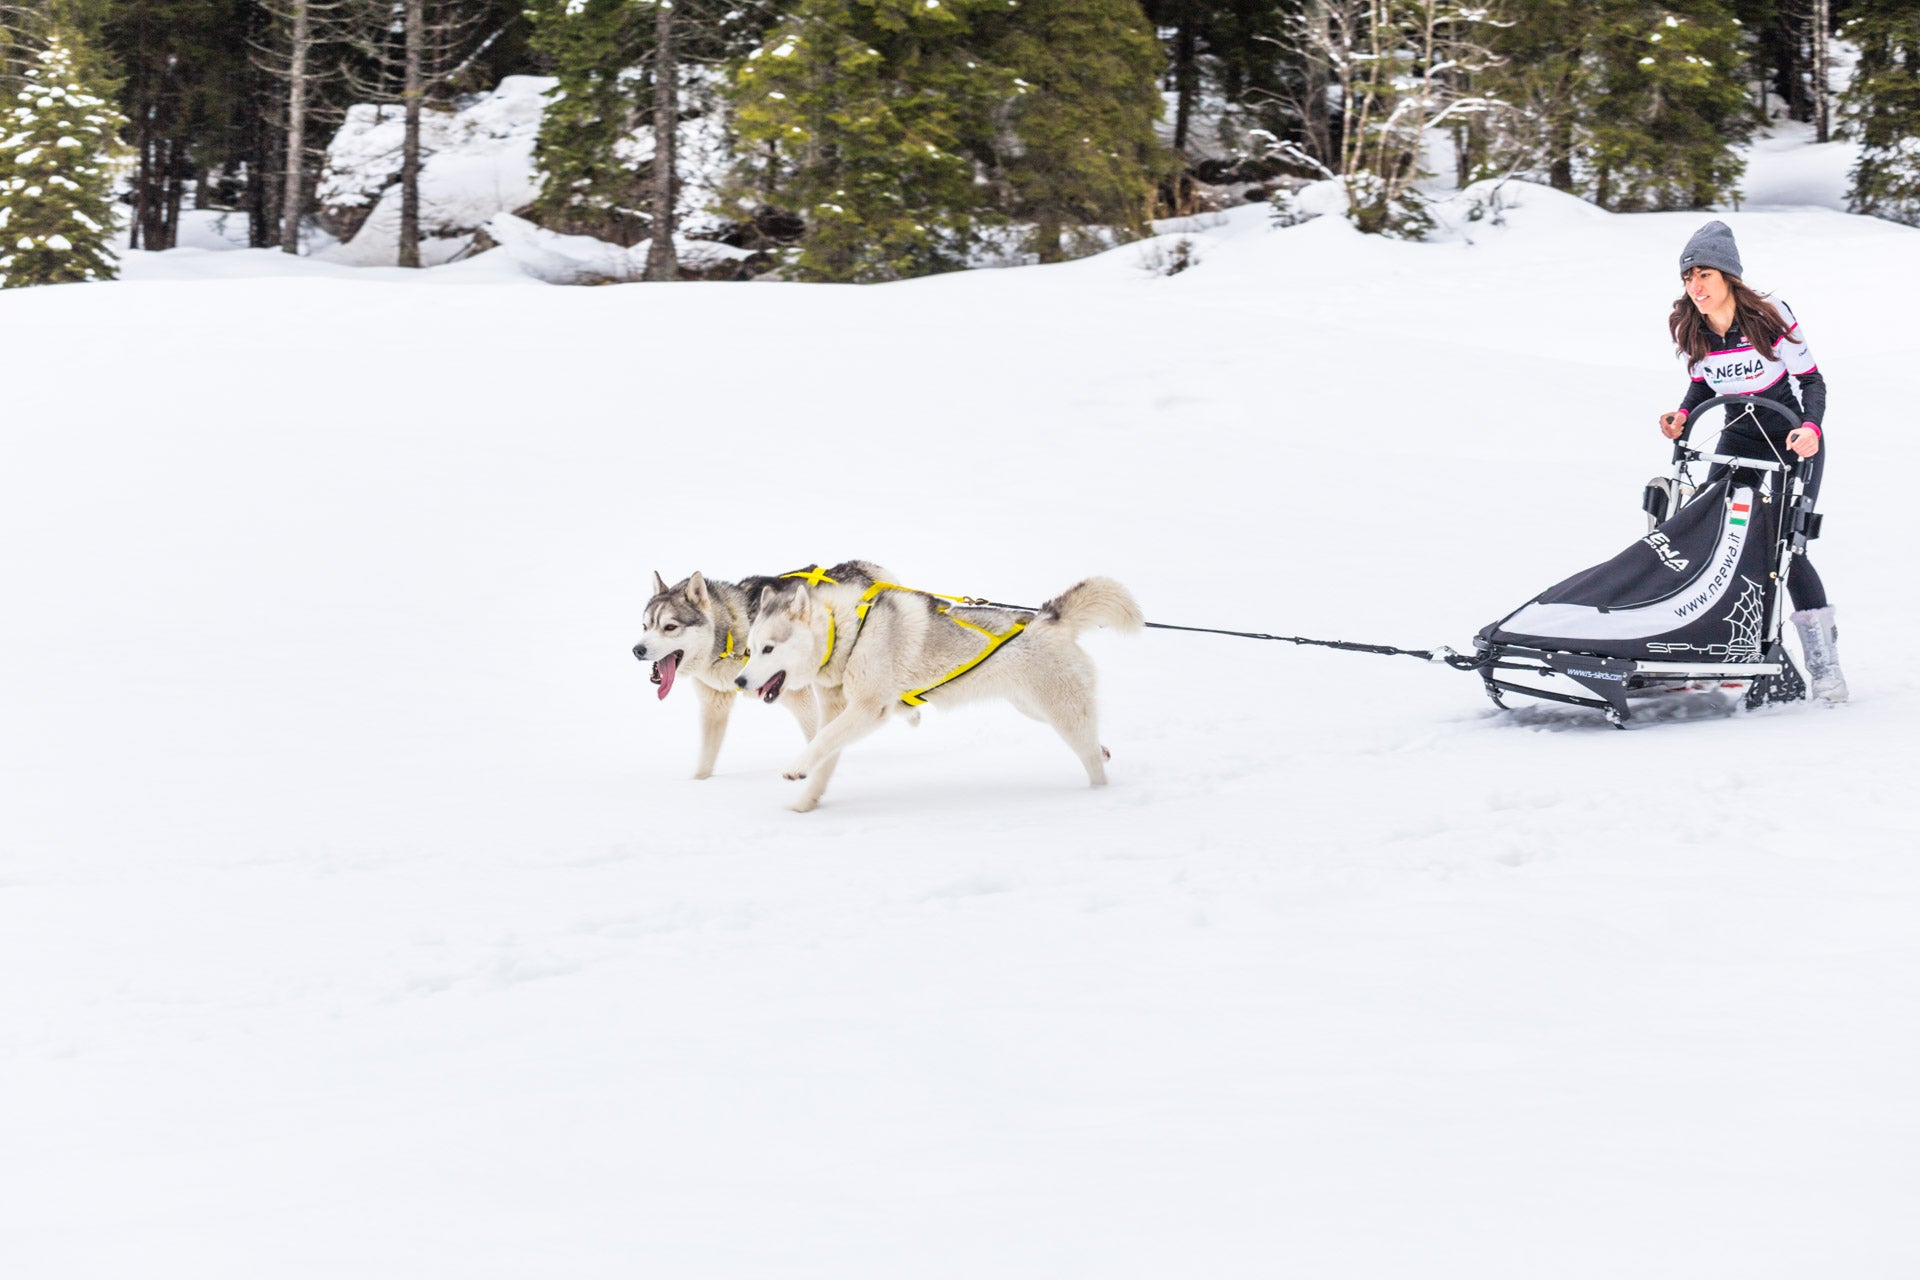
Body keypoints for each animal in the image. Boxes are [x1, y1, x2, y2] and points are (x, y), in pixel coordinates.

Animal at [637, 564, 890, 782]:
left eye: (670, 627)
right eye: (645, 626)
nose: (637, 650)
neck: (729, 639)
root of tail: (864, 567)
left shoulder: (798, 696)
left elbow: (815, 734)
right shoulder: (714, 706)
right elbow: (705, 763)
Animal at [725, 579, 1128, 809]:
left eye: (769, 649)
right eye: (750, 649)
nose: (739, 682)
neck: (847, 635)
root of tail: (1048, 618)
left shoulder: (869, 709)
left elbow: (821, 742)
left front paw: (796, 768)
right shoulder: (839, 713)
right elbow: (824, 754)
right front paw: (804, 805)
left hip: (1063, 714)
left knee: (1090, 760)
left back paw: (1098, 796)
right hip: (1034, 708)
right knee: (1093, 743)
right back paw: (1105, 751)